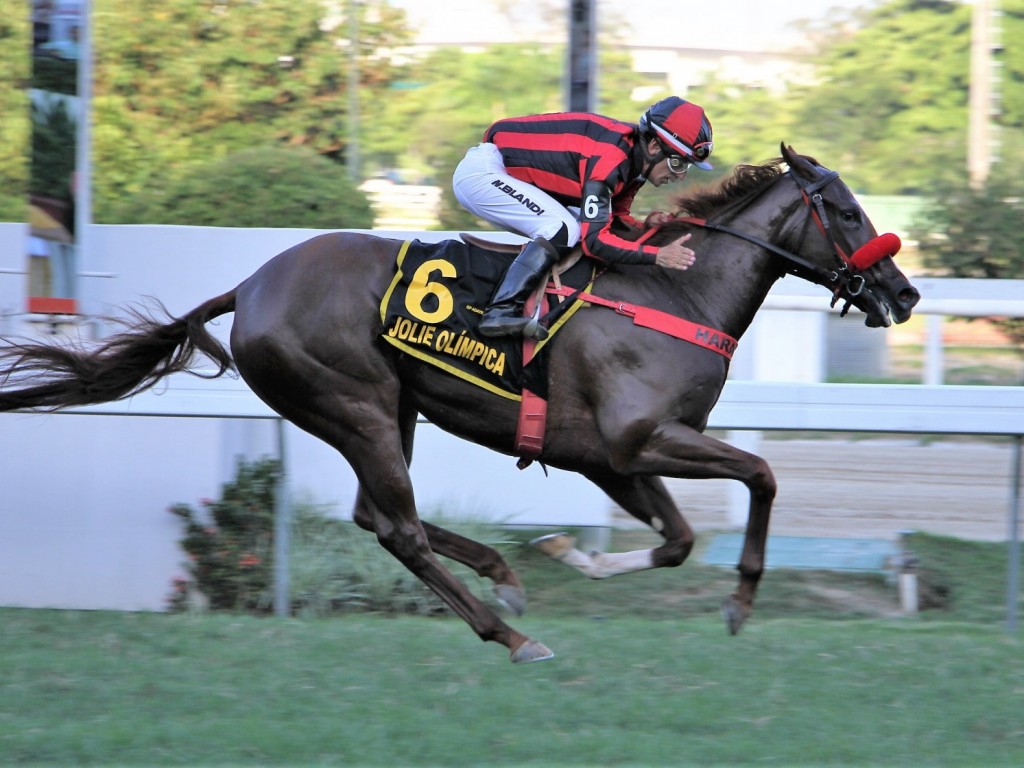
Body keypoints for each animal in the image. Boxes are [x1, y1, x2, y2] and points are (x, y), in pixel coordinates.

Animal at [0, 147, 921, 663]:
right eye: (846, 211)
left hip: (386, 410)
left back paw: (505, 575)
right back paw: (512, 636)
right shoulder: (639, 439)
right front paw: (739, 601)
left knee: (376, 517)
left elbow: (678, 539)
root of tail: (250, 284)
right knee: (399, 529)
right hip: (357, 404)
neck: (674, 293)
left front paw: (575, 557)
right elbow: (761, 474)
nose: (906, 293)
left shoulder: (611, 457)